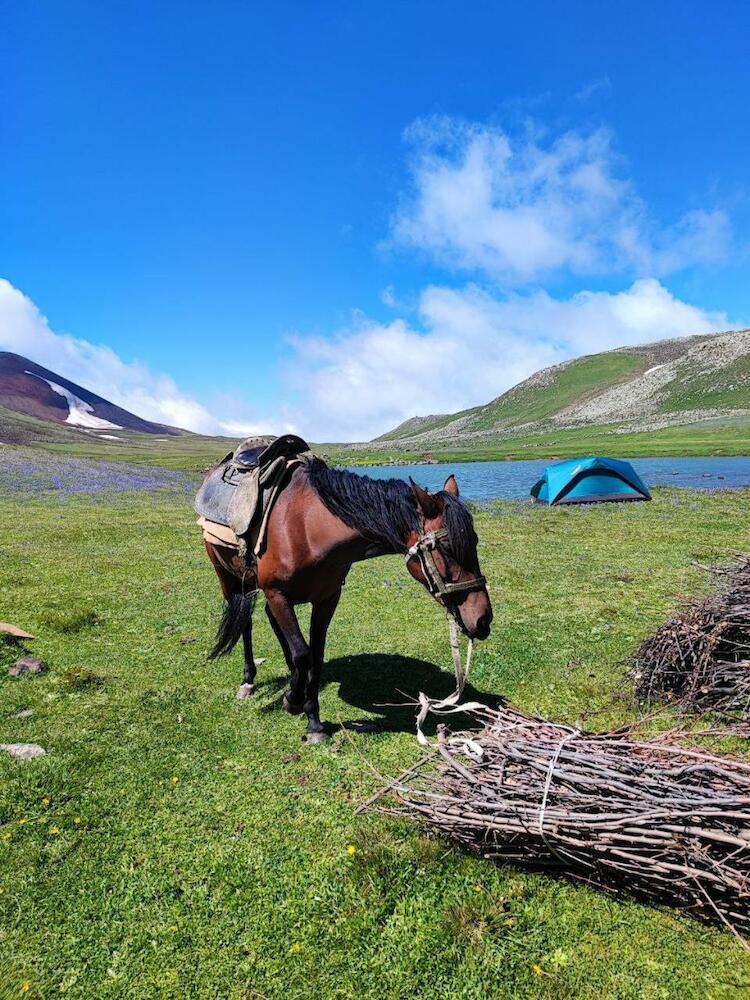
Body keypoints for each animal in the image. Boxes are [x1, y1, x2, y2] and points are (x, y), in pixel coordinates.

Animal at [203, 458, 494, 740]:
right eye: (447, 548)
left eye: (475, 541)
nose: (483, 619)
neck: (306, 528)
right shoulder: (277, 593)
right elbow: (302, 654)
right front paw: (293, 701)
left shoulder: (327, 598)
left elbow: (315, 655)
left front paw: (313, 720)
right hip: (227, 578)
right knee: (246, 623)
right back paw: (249, 681)